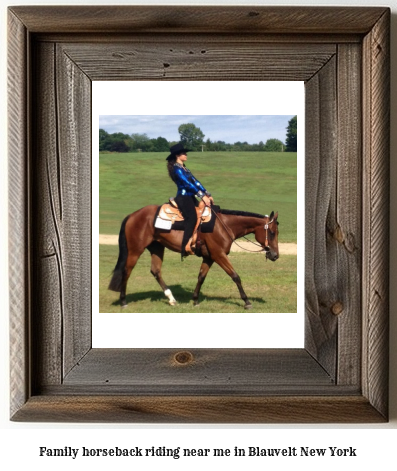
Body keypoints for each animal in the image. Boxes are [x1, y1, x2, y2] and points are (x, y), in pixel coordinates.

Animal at [108, 206, 278, 310]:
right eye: (272, 233)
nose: (275, 255)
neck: (223, 226)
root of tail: (132, 215)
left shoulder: (209, 257)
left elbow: (201, 277)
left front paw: (195, 300)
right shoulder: (219, 255)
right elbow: (235, 276)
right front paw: (247, 301)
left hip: (157, 248)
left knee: (155, 271)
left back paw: (172, 299)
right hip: (135, 250)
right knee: (126, 271)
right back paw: (123, 301)